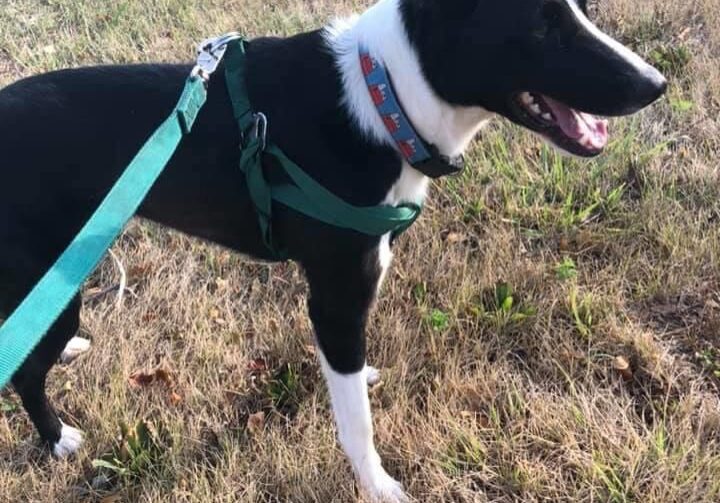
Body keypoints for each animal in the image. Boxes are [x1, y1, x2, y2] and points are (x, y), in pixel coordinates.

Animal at [0, 0, 664, 502]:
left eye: (584, 9)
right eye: (540, 24)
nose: (656, 85)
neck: (386, 95)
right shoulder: (337, 301)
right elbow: (356, 423)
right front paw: (378, 486)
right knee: (25, 372)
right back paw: (56, 436)